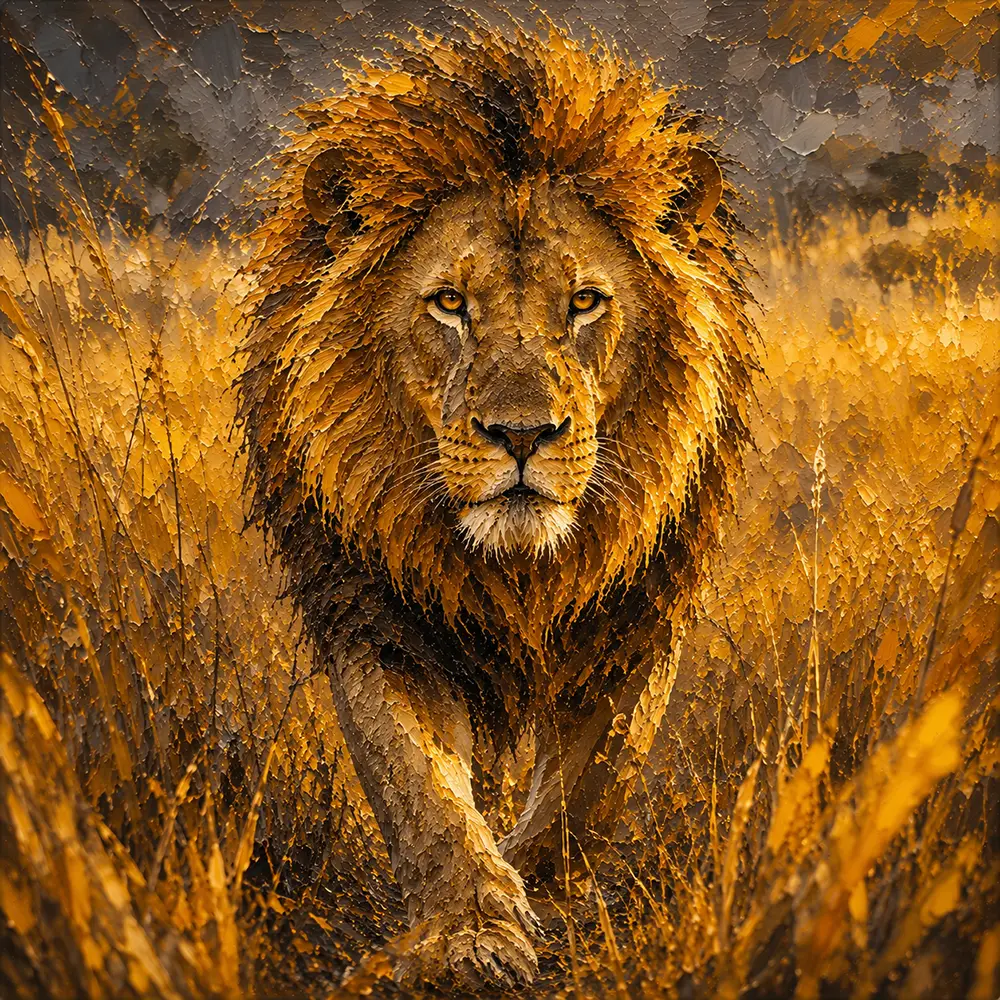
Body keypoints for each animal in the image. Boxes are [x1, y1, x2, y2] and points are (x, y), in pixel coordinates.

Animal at [236, 21, 757, 988]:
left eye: (584, 302)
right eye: (450, 304)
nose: (523, 434)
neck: (518, 571)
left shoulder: (636, 617)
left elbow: (593, 786)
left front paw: (540, 893)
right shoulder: (380, 621)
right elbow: (424, 793)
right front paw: (471, 934)